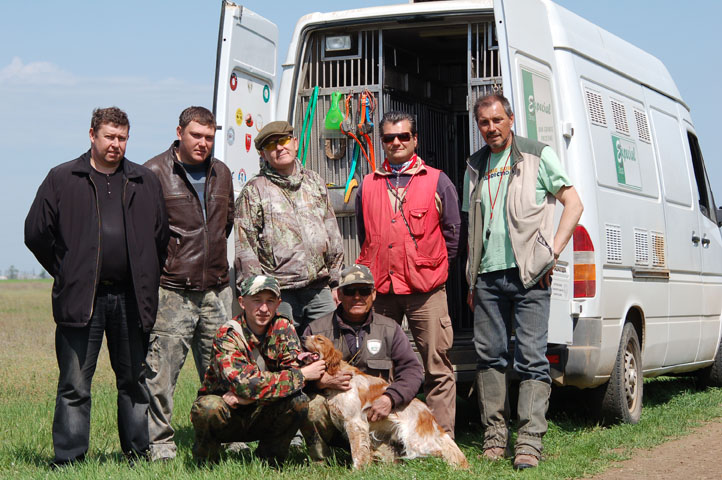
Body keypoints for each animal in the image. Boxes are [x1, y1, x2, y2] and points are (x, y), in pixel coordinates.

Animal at [300, 334, 464, 468]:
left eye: (319, 339)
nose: (301, 337)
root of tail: (429, 414)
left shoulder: (355, 422)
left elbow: (357, 451)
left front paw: (357, 470)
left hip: (414, 440)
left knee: (438, 452)